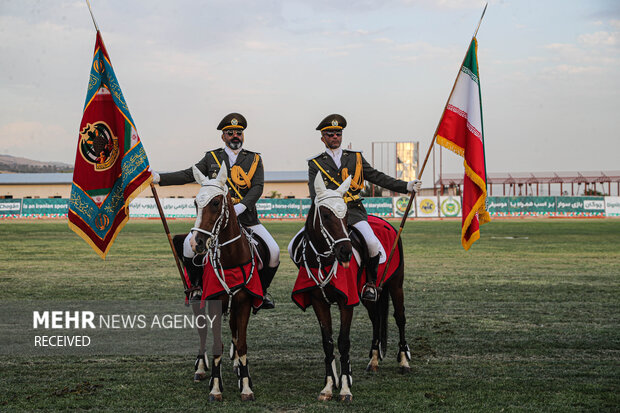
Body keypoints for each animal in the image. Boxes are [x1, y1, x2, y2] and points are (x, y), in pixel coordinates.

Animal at [188, 165, 262, 402]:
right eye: (195, 203)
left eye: (215, 203)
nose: (196, 243)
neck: (231, 257)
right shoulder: (214, 303)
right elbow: (216, 344)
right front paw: (215, 387)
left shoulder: (244, 302)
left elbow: (241, 342)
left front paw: (246, 386)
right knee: (203, 332)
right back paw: (201, 369)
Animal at [288, 175, 356, 400]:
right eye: (326, 215)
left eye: (346, 215)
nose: (346, 252)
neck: (323, 261)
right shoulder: (319, 303)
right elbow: (328, 342)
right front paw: (329, 386)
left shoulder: (347, 302)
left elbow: (343, 342)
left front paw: (345, 389)